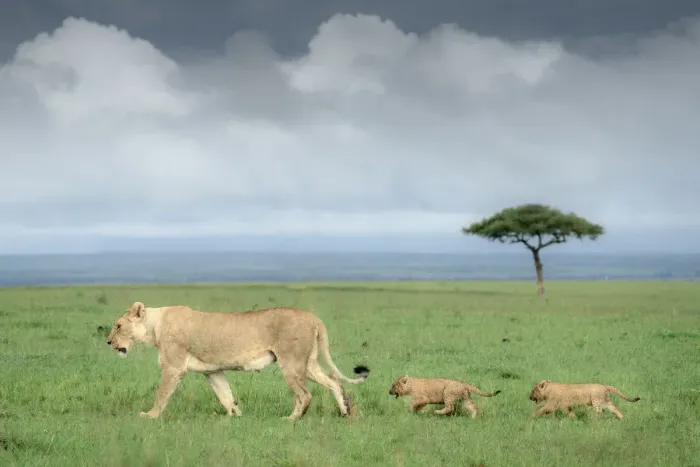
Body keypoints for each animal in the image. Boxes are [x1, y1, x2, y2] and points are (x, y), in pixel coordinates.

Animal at [106, 301, 370, 420]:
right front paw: (236, 415)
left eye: (118, 325)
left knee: (305, 395)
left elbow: (161, 394)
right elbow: (225, 394)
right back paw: (347, 413)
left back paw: (291, 419)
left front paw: (150, 415)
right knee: (334, 381)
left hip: (291, 362)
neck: (155, 326)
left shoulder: (174, 367)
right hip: (309, 363)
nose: (108, 342)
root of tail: (313, 317)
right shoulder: (212, 371)